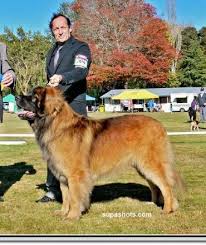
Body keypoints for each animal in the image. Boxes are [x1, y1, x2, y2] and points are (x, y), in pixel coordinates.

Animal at [16, 86, 183, 220]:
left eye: (33, 96)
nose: (17, 96)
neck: (55, 123)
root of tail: (159, 125)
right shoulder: (63, 176)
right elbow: (65, 197)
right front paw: (63, 212)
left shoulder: (75, 175)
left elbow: (74, 197)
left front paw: (72, 216)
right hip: (141, 167)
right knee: (155, 186)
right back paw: (153, 203)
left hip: (150, 164)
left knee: (166, 186)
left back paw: (168, 209)